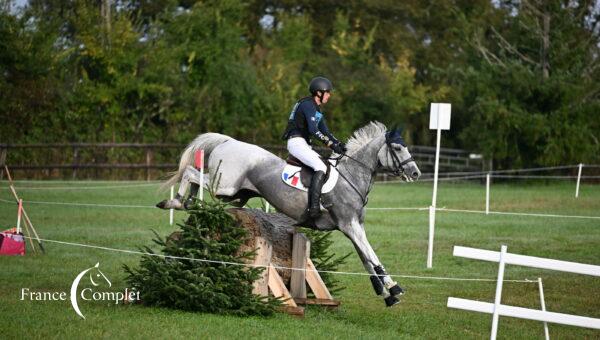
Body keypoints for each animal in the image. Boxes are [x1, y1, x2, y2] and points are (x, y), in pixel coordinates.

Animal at [159, 121, 422, 306]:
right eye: (398, 148)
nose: (416, 173)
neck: (351, 178)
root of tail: (228, 141)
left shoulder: (352, 227)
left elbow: (366, 258)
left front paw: (385, 294)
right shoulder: (350, 225)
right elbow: (372, 254)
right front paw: (394, 287)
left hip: (233, 193)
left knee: (195, 175)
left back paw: (187, 203)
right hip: (225, 186)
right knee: (191, 172)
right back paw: (174, 201)